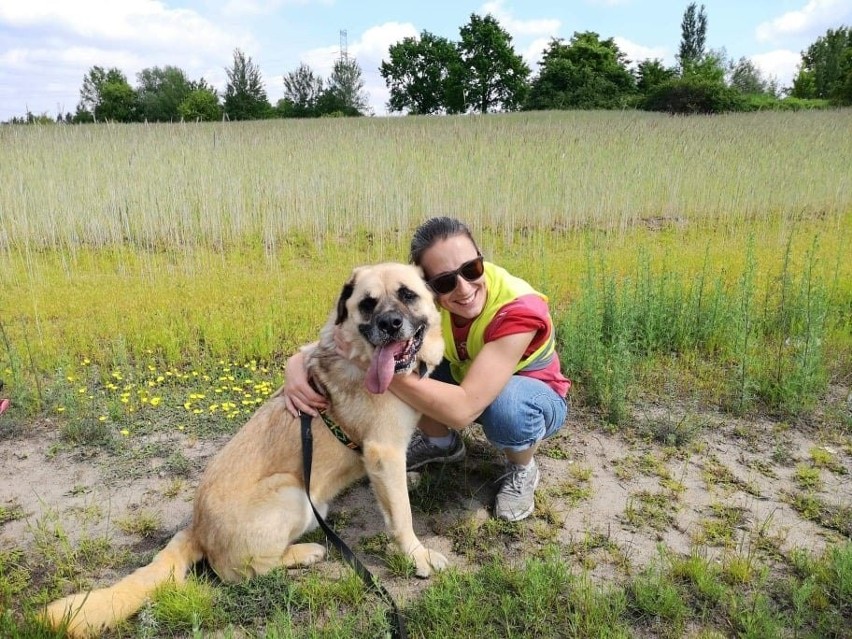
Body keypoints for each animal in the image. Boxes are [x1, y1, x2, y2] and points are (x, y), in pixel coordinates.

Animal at [43, 262, 450, 636]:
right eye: (367, 303)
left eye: (408, 294)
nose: (390, 324)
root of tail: (196, 528)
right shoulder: (383, 451)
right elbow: (402, 517)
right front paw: (418, 556)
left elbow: (394, 498)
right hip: (294, 493)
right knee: (245, 571)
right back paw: (305, 553)